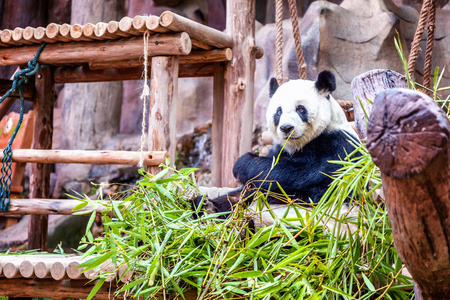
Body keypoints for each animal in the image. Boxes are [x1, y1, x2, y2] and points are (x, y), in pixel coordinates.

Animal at [192, 71, 358, 219]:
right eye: (279, 111)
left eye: (301, 109)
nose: (286, 128)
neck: (299, 144)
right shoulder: (280, 149)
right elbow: (244, 191)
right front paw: (206, 205)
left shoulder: (337, 145)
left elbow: (298, 173)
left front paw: (243, 163)